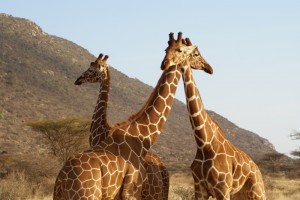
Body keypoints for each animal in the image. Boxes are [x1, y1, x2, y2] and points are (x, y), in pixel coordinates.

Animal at [161, 36, 266, 199]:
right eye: (166, 50)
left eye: (195, 53)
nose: (209, 68)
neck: (204, 144)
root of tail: (257, 168)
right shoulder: (200, 189)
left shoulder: (222, 189)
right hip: (239, 194)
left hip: (257, 191)